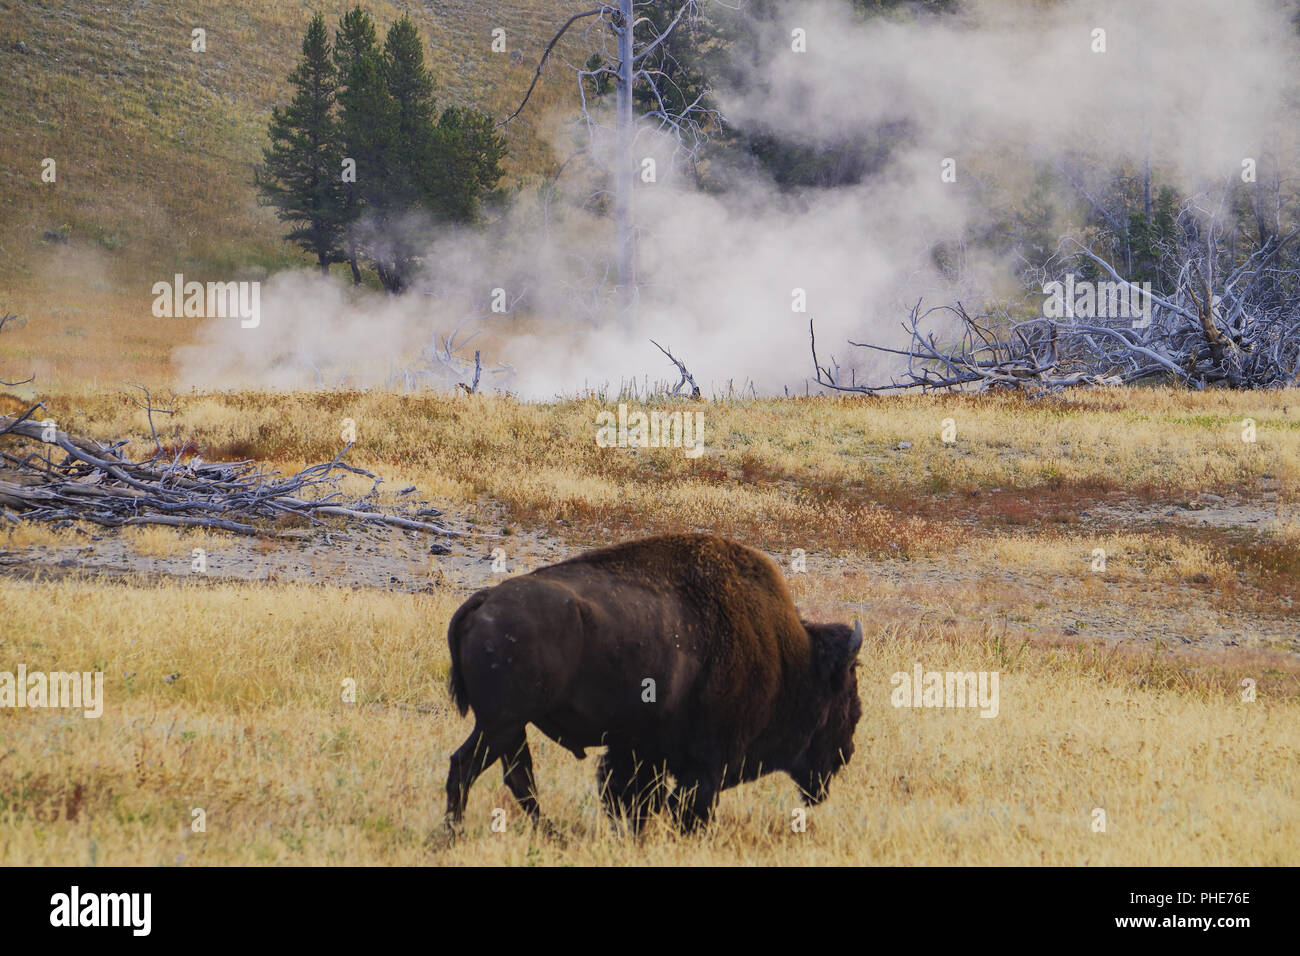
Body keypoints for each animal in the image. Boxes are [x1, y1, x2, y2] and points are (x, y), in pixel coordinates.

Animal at [447, 535, 863, 832]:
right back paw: (457, 834)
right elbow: (682, 805)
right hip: (500, 725)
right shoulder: (706, 760)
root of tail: (484, 600)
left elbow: (632, 796)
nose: (847, 752)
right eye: (846, 696)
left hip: (510, 728)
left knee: (519, 777)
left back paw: (549, 834)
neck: (786, 654)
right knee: (466, 767)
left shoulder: (638, 750)